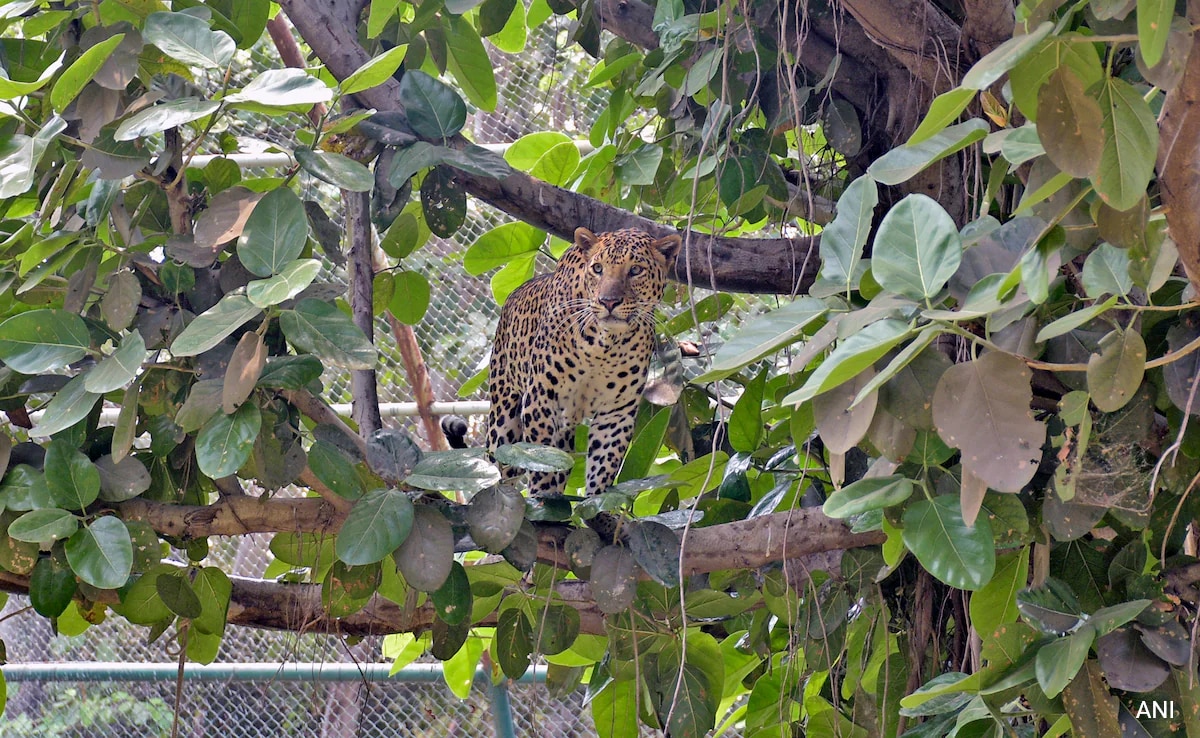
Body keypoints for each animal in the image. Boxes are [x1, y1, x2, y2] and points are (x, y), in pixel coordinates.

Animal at [482, 228, 681, 499]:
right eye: (598, 268)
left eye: (635, 270)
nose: (609, 301)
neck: (605, 345)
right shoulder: (541, 397)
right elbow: (543, 459)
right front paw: (542, 499)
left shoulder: (616, 412)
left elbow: (603, 464)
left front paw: (598, 504)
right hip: (504, 423)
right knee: (499, 465)